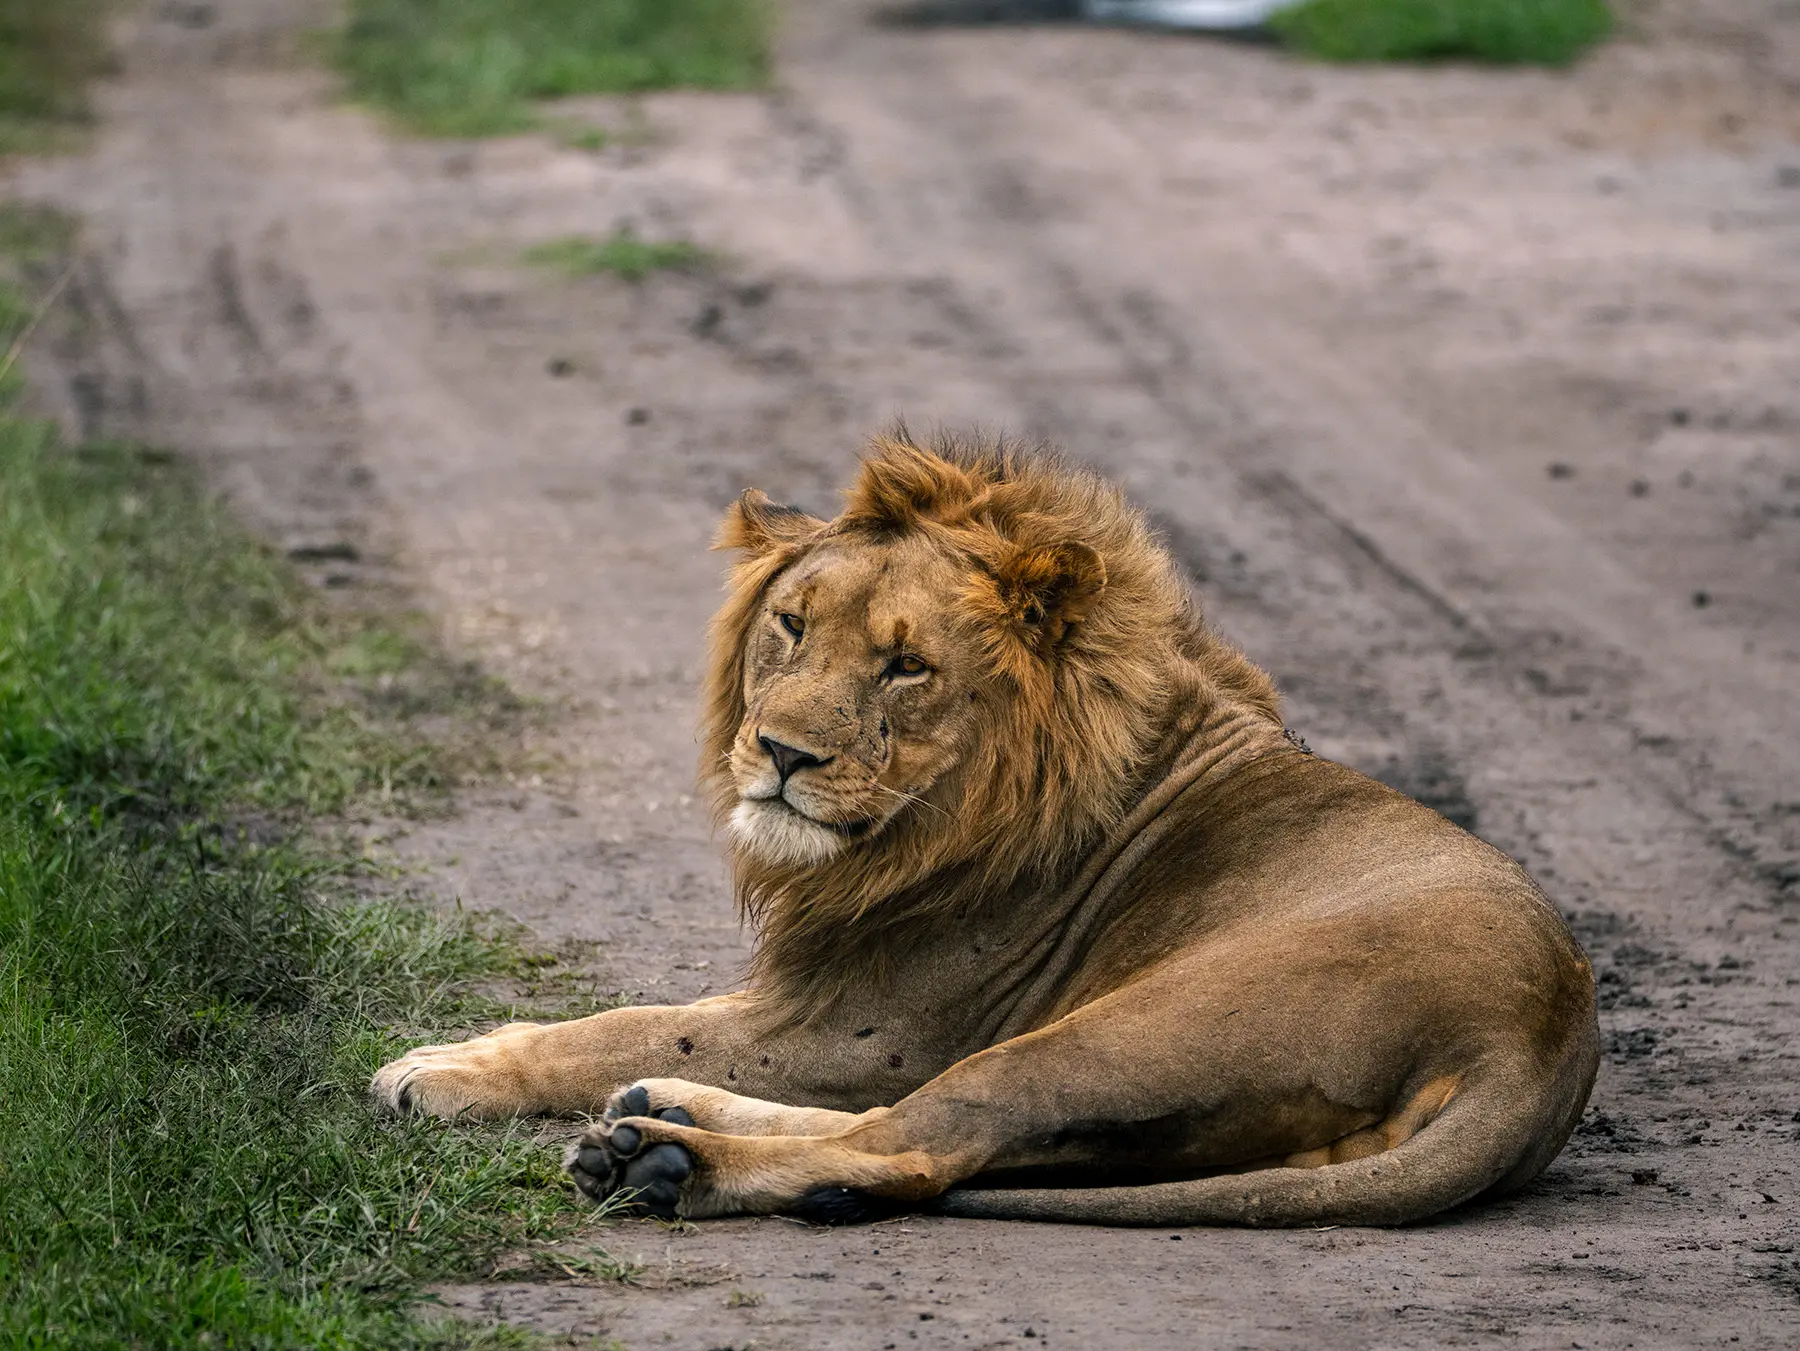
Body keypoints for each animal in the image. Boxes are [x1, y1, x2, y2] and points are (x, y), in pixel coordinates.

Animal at [372, 430, 1598, 1227]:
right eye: (792, 625)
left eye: (906, 666)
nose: (780, 752)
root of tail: (1537, 1041)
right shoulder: (817, 1005)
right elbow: (642, 1021)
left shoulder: (863, 1024)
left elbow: (619, 1025)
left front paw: (441, 1067)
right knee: (888, 1132)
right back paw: (660, 1118)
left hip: (1113, 1032)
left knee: (912, 1144)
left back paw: (660, 1163)